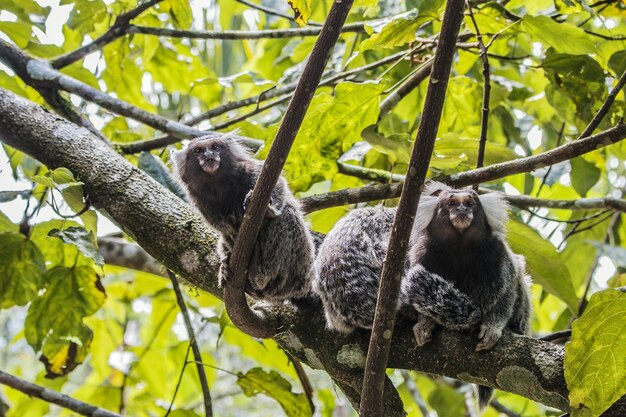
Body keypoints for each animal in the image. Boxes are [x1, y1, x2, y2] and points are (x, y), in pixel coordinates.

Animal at [171, 135, 314, 300]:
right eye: (198, 151)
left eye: (214, 147)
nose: (208, 155)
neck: (217, 183)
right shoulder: (199, 199)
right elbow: (224, 229)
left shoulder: (249, 170)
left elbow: (278, 185)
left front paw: (269, 210)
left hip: (298, 265)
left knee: (287, 215)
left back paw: (260, 275)